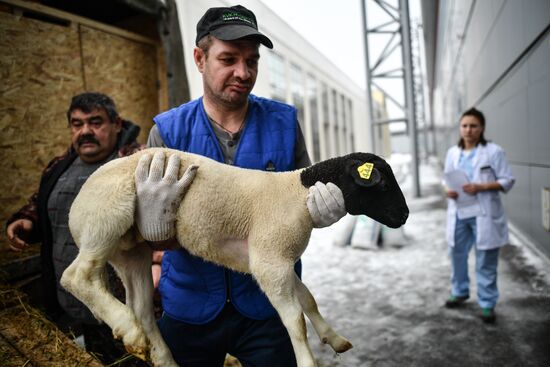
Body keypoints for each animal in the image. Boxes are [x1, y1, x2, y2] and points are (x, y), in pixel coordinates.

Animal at [60, 147, 410, 367]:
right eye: (381, 182)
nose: (405, 215)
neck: (299, 194)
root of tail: (76, 205)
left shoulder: (278, 261)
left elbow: (308, 300)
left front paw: (335, 339)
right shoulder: (270, 260)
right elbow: (294, 319)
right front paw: (308, 361)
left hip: (130, 250)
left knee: (142, 309)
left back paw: (158, 354)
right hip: (106, 218)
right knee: (77, 276)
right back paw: (127, 327)